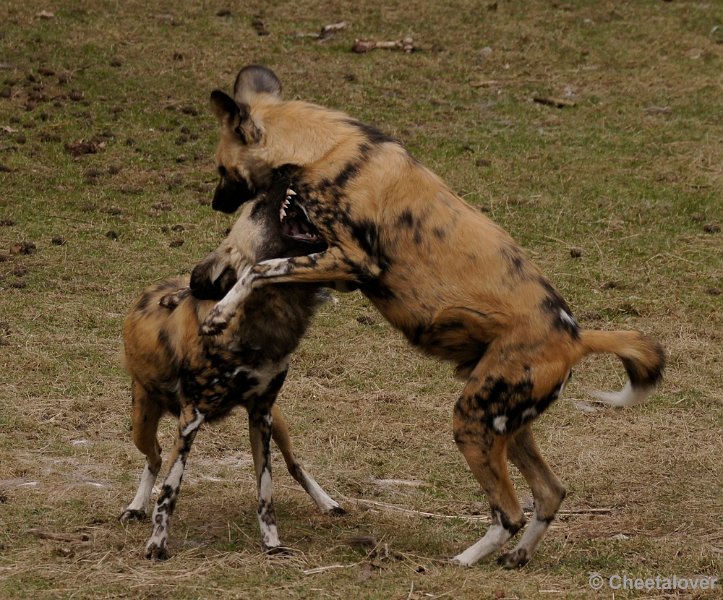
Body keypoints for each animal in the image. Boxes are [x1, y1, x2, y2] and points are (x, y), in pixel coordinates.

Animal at [119, 183, 346, 564]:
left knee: (294, 464)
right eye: (255, 208)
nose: (282, 180)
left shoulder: (261, 416)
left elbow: (266, 490)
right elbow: (169, 491)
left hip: (279, 423)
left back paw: (327, 502)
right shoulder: (191, 420)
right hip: (142, 422)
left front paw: (272, 544)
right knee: (155, 457)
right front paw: (157, 543)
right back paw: (136, 506)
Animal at [195, 65, 664, 568]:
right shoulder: (338, 268)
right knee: (549, 493)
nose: (217, 203)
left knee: (510, 511)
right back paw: (516, 558)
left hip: (472, 420)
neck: (324, 149)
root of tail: (575, 337)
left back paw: (460, 563)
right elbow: (263, 270)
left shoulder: (352, 260)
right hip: (506, 424)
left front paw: (219, 315)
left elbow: (259, 270)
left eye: (222, 170)